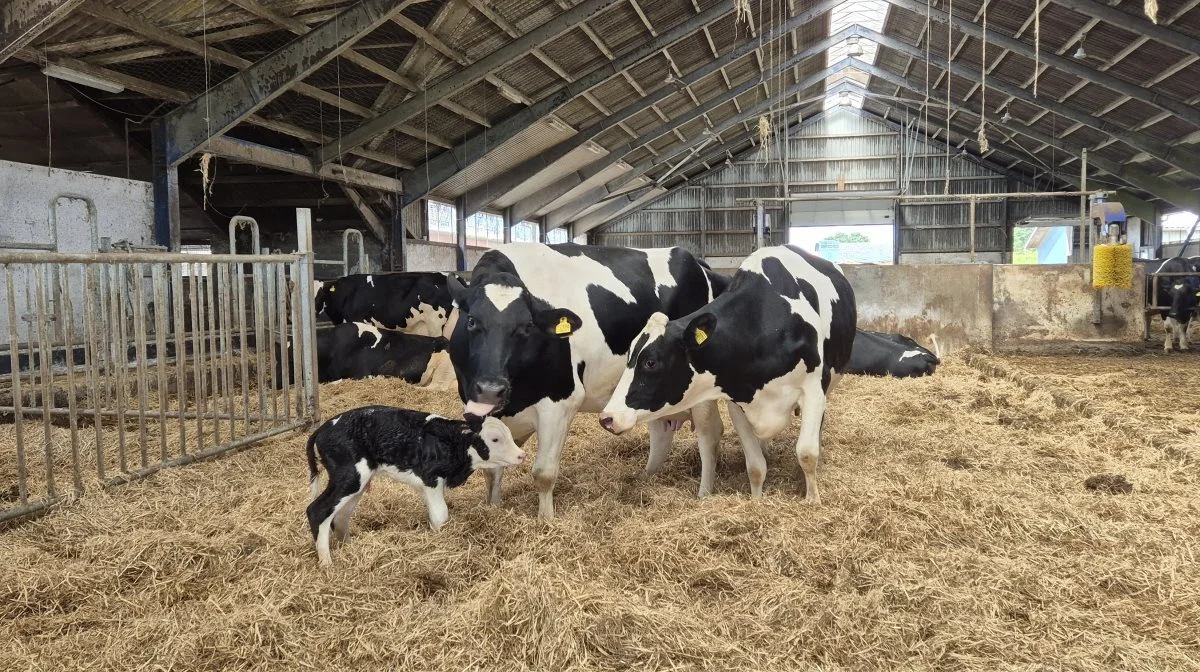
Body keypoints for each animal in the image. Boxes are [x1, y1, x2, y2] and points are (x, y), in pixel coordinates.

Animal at [274, 321, 456, 391]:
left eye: (289, 359)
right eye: (277, 358)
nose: (274, 383)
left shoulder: (361, 373)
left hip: (442, 369)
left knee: (435, 387)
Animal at [302, 408, 523, 564]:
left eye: (509, 433)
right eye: (495, 439)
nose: (522, 454)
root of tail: (322, 429)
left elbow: (435, 514)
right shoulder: (431, 478)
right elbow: (441, 514)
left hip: (358, 482)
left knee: (340, 515)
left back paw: (348, 549)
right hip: (349, 476)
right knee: (317, 510)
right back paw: (327, 563)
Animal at [446, 242, 729, 520]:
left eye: (527, 326)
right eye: (471, 321)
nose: (491, 389)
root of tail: (692, 258)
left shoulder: (560, 403)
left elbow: (543, 473)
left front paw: (546, 522)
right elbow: (492, 470)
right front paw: (492, 510)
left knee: (709, 433)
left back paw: (703, 494)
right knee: (660, 431)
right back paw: (645, 478)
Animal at [597, 243, 859, 501]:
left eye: (650, 362)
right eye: (629, 356)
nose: (606, 418)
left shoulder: (813, 390)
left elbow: (806, 454)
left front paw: (812, 500)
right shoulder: (738, 399)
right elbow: (755, 466)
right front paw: (756, 502)